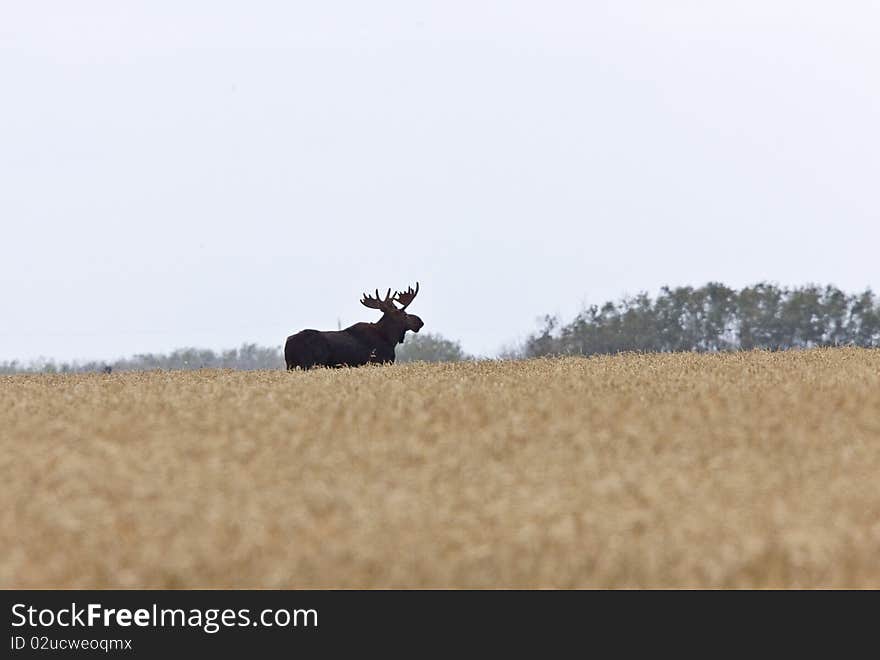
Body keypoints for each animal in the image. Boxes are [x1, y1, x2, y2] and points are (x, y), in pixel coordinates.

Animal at [286, 282, 422, 368]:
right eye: (405, 314)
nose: (420, 321)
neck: (390, 339)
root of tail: (289, 343)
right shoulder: (380, 361)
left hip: (291, 366)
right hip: (309, 364)